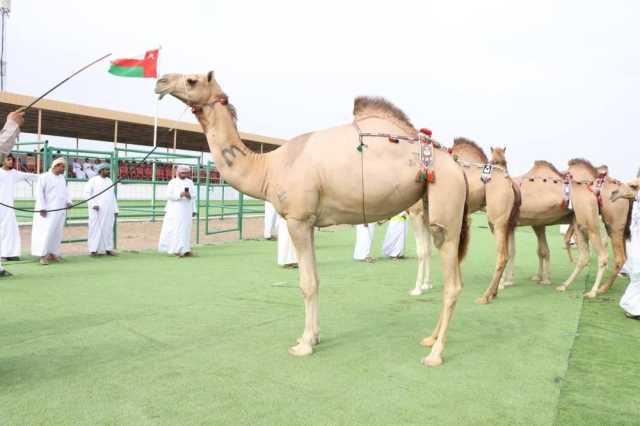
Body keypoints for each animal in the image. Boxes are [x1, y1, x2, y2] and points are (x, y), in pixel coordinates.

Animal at [155, 72, 470, 366]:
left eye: (191, 80)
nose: (161, 81)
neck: (268, 167)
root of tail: (458, 168)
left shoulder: (298, 218)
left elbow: (306, 283)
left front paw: (304, 344)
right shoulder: (310, 223)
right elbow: (316, 279)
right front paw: (313, 336)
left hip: (446, 208)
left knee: (453, 283)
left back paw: (435, 354)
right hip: (428, 201)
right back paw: (430, 338)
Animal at [408, 141, 524, 304]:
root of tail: (511, 183)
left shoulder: (416, 214)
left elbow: (422, 251)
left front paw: (417, 288)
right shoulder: (427, 217)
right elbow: (428, 250)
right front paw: (427, 284)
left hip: (498, 221)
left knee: (503, 255)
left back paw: (486, 295)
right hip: (505, 222)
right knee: (510, 251)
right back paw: (497, 290)